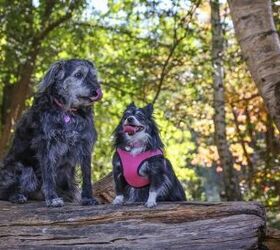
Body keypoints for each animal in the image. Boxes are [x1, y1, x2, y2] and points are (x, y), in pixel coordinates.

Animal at [0, 58, 101, 207]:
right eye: (78, 75)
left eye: (94, 76)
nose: (97, 91)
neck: (68, 112)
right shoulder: (46, 146)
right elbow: (48, 176)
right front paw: (52, 198)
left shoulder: (85, 146)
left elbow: (87, 175)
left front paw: (88, 198)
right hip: (23, 169)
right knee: (5, 191)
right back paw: (17, 196)